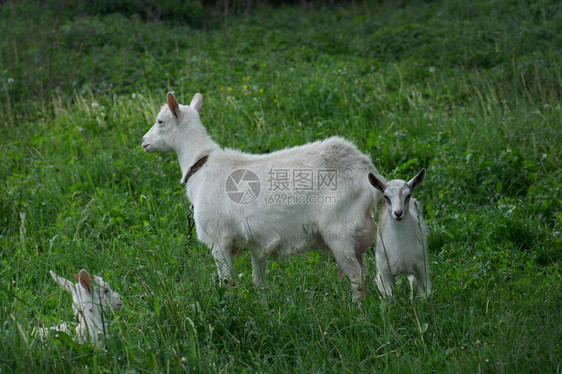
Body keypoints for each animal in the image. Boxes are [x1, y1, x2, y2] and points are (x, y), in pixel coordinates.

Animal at [142, 93, 382, 300]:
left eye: (160, 121)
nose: (144, 142)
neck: (201, 165)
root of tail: (367, 170)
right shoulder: (256, 243)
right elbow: (258, 283)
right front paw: (264, 309)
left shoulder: (219, 240)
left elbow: (226, 284)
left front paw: (230, 309)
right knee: (366, 275)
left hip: (340, 231)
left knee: (357, 278)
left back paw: (357, 314)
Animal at [366, 169, 430, 298]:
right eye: (386, 196)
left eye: (408, 195)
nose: (398, 213)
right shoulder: (385, 272)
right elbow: (391, 298)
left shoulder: (422, 266)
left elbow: (426, 294)